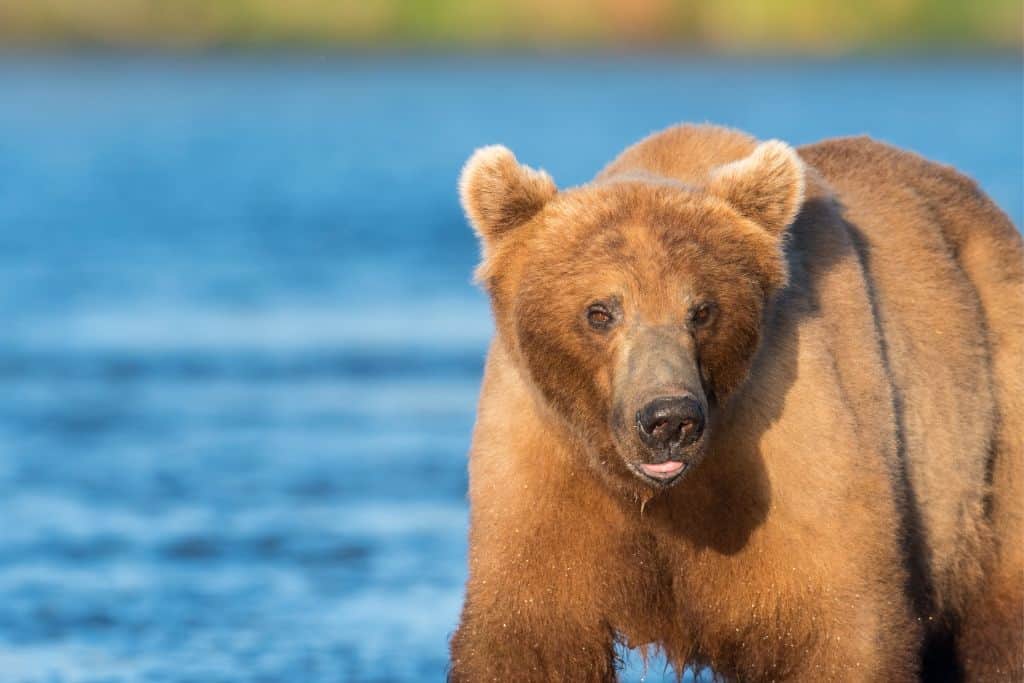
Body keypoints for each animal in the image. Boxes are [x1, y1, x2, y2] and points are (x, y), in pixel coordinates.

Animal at [450, 124, 1024, 683]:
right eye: (600, 311)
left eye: (702, 310)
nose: (669, 420)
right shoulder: (542, 473)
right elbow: (530, 640)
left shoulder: (791, 447)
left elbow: (842, 628)